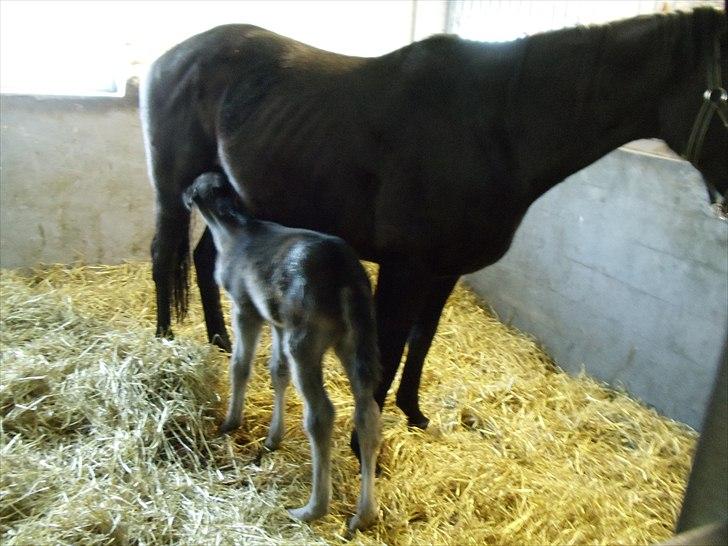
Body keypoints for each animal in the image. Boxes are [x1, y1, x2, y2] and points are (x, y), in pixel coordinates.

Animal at [142, 7, 728, 434]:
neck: (494, 128)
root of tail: (169, 57)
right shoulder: (405, 268)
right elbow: (387, 351)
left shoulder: (445, 268)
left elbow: (421, 340)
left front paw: (415, 414)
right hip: (174, 192)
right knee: (164, 253)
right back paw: (164, 341)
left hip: (229, 191)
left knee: (203, 258)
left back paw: (220, 340)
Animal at [183, 172, 382, 528]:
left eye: (193, 186)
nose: (182, 197)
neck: (232, 231)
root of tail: (344, 274)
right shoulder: (276, 321)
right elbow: (278, 371)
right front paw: (273, 438)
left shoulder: (245, 308)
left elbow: (240, 365)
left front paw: (230, 423)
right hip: (356, 340)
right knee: (367, 410)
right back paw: (363, 516)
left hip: (305, 339)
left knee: (321, 413)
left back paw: (312, 509)